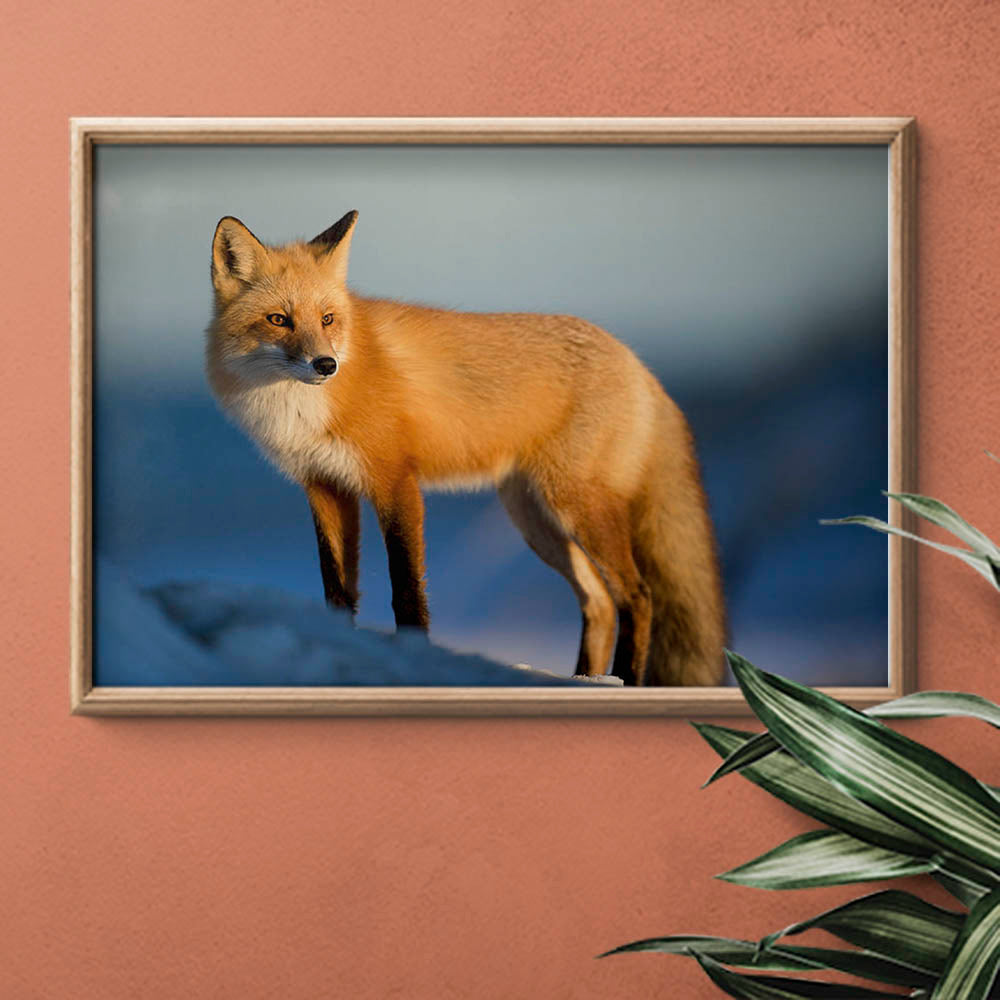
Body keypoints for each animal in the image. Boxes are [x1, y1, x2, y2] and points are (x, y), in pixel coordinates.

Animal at [206, 210, 726, 686]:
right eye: (279, 320)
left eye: (327, 319)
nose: (326, 365)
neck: (300, 409)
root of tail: (638, 364)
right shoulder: (325, 487)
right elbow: (337, 590)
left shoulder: (395, 481)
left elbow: (406, 589)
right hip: (535, 520)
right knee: (598, 601)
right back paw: (585, 680)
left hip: (577, 507)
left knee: (638, 596)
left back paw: (625, 680)